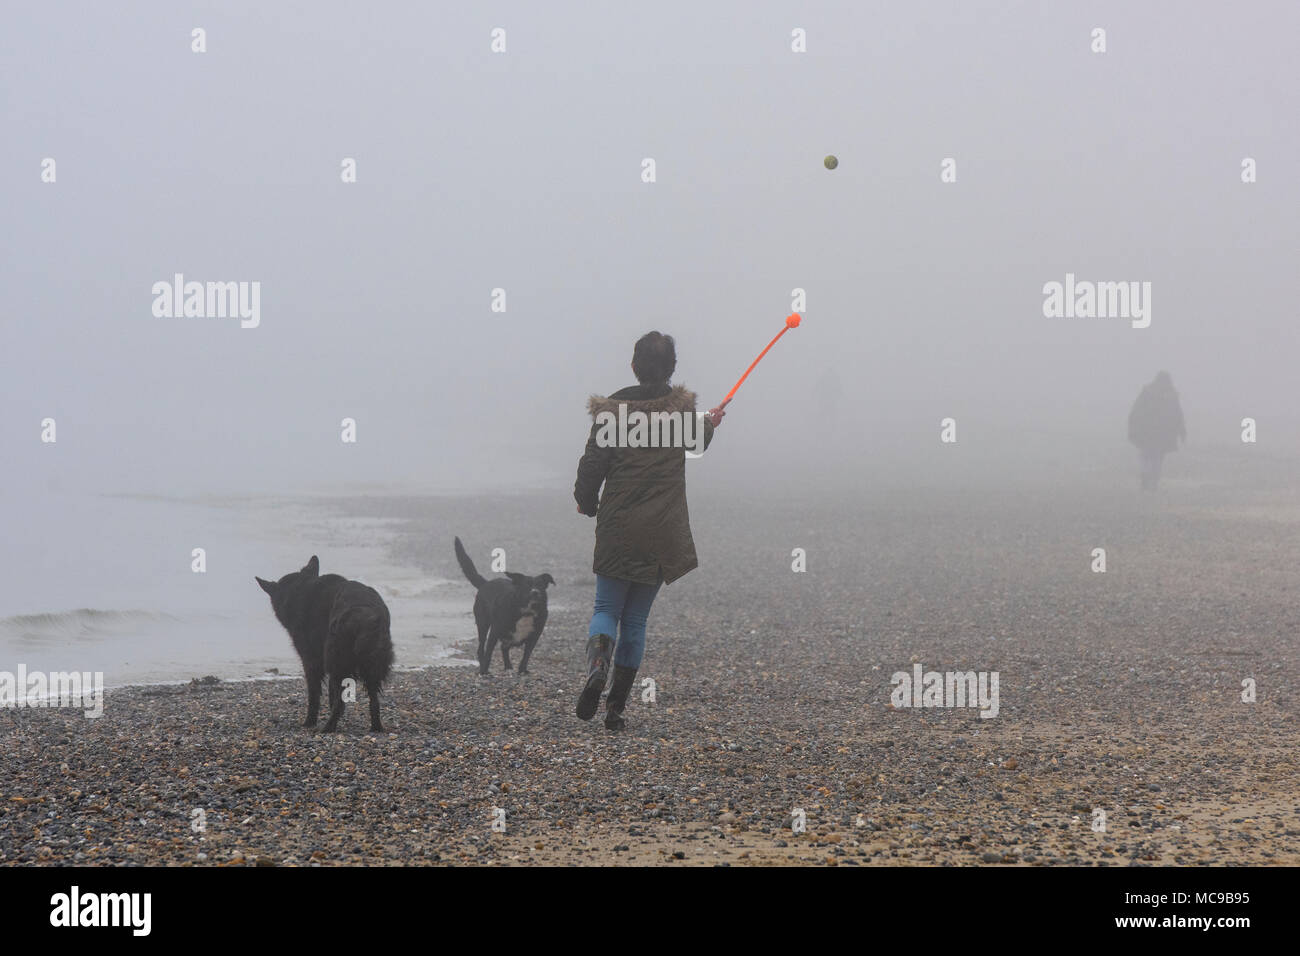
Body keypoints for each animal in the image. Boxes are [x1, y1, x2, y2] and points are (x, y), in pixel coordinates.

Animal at [254, 554, 392, 733]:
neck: (300, 590)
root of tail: (364, 615)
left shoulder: (311, 662)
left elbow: (315, 696)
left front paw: (309, 722)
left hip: (338, 663)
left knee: (340, 702)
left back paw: (328, 727)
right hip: (370, 667)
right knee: (374, 700)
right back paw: (376, 726)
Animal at [452, 538, 553, 671]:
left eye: (540, 585)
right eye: (527, 585)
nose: (535, 592)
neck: (526, 611)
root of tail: (486, 583)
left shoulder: (535, 635)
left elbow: (526, 655)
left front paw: (522, 670)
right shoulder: (495, 631)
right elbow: (489, 653)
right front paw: (484, 671)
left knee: (504, 647)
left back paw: (508, 666)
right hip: (483, 623)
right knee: (481, 648)